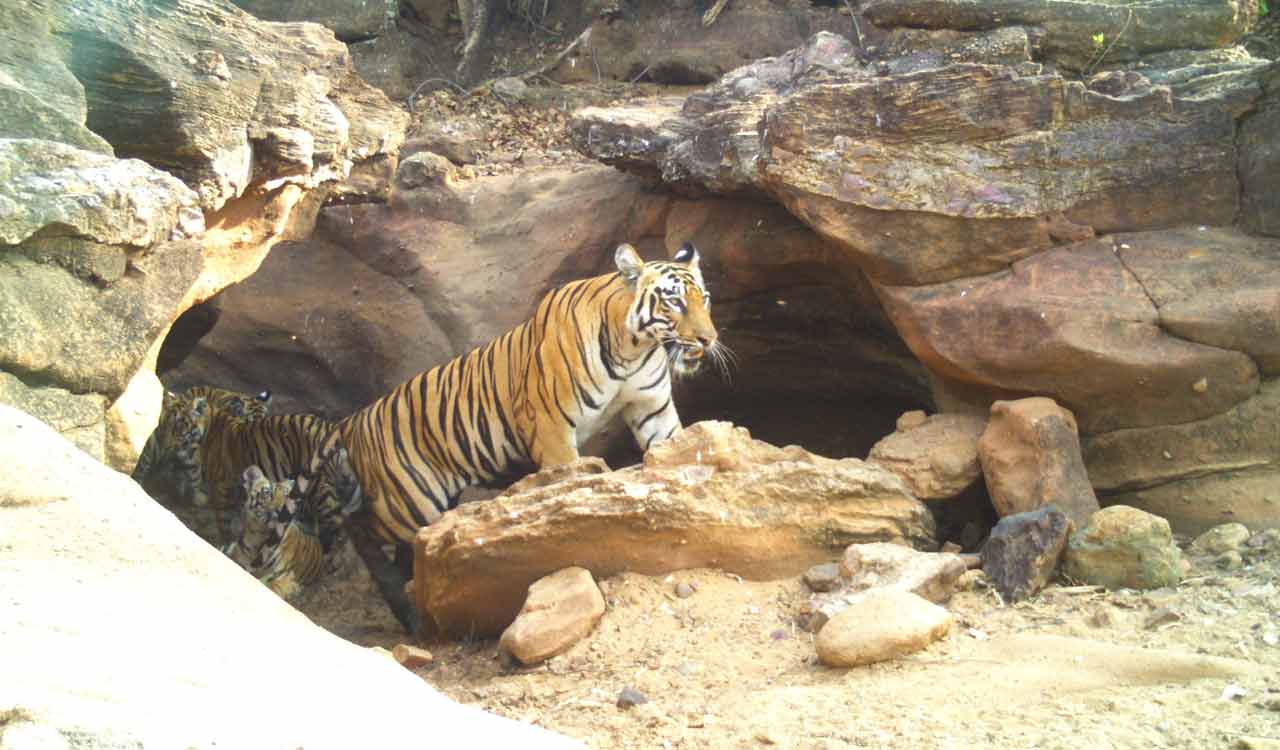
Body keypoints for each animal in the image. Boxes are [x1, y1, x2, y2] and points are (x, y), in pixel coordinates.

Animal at [290, 241, 721, 628]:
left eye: (705, 299)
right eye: (674, 303)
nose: (708, 339)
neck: (634, 349)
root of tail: (354, 420)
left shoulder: (653, 409)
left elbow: (673, 447)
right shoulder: (551, 426)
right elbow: (568, 482)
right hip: (411, 501)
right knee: (358, 525)